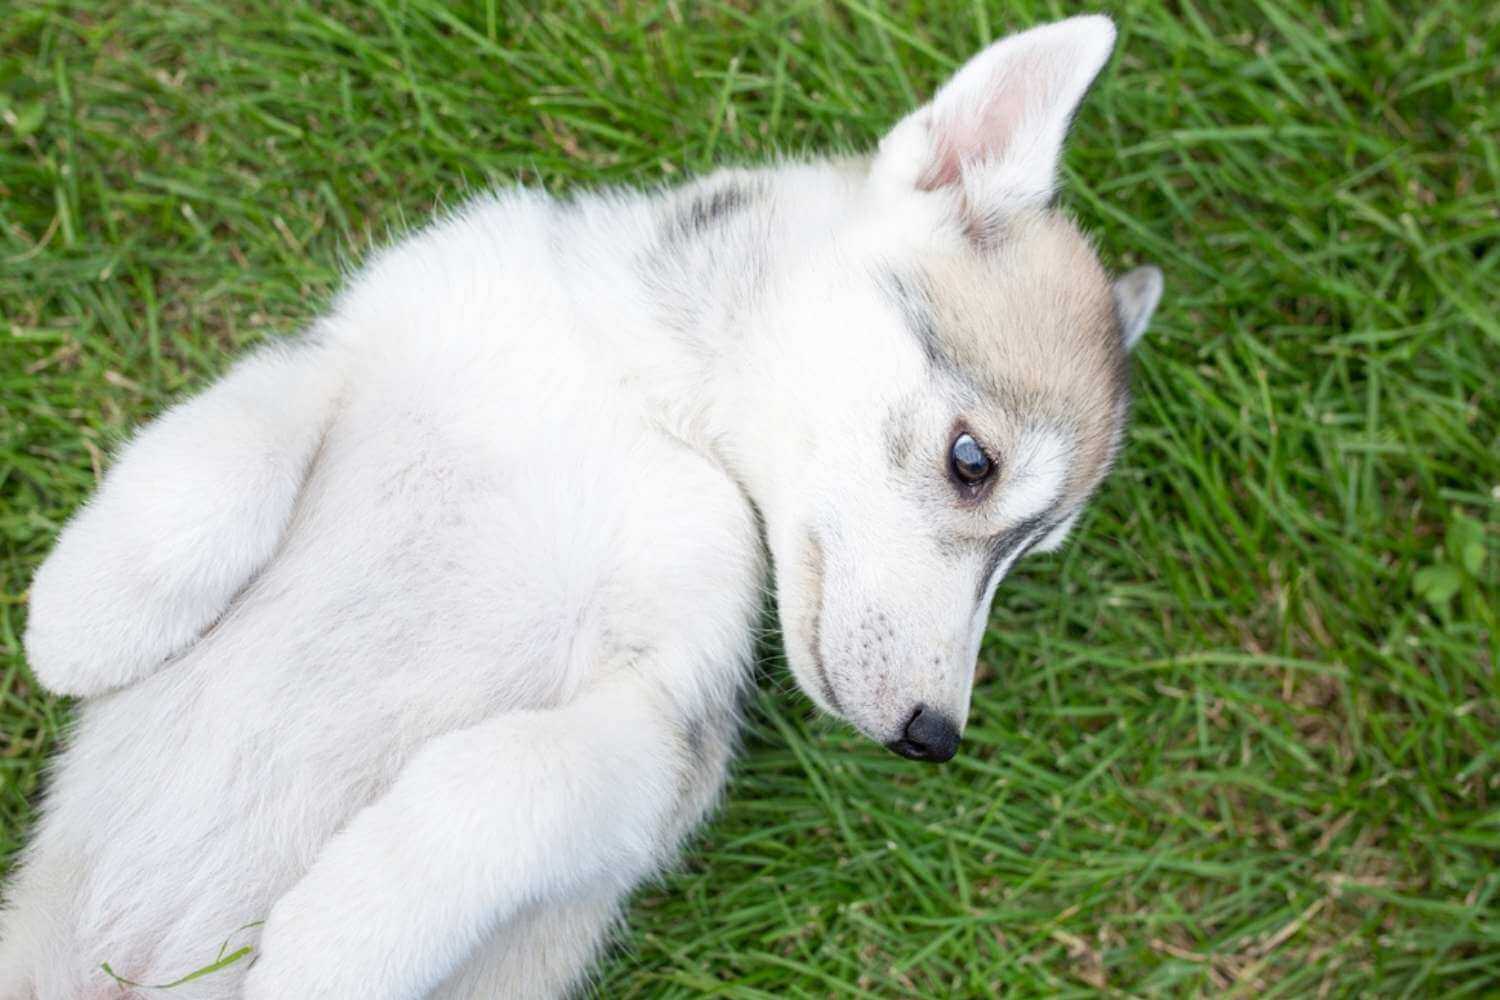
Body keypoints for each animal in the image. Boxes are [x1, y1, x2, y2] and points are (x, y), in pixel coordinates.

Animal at [0, 15, 1158, 1000]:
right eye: (974, 463)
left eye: (1031, 553)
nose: (935, 736)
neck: (642, 401)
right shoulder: (363, 339)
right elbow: (229, 447)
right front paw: (89, 615)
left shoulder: (662, 722)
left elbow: (497, 787)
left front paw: (339, 936)